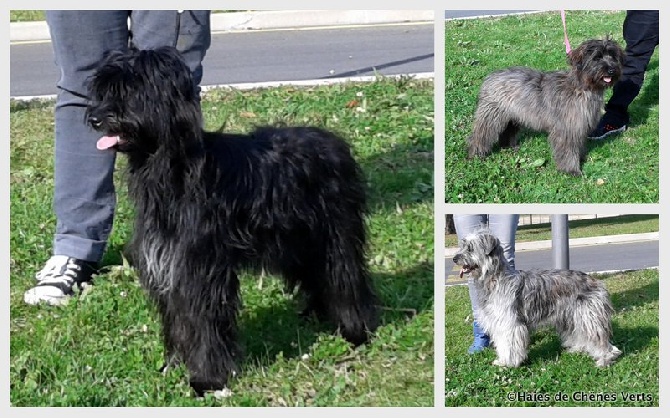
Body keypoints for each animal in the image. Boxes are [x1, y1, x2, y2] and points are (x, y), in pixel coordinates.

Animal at [85, 48, 378, 396]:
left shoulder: (200, 269)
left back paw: (355, 330)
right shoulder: (168, 265)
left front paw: (206, 379)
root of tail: (335, 143)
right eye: (104, 91)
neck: (175, 170)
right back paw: (316, 314)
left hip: (333, 236)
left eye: (129, 91)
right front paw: (173, 365)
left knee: (344, 277)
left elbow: (204, 323)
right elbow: (178, 320)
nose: (94, 117)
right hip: (297, 242)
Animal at [454, 230, 624, 368]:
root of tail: (595, 280)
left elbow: (508, 343)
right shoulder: (498, 321)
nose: (455, 258)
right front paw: (502, 360)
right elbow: (502, 343)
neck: (495, 279)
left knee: (600, 339)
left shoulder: (509, 323)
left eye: (470, 248)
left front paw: (508, 363)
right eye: (463, 245)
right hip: (571, 317)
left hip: (588, 316)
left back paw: (605, 358)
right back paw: (578, 349)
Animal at [470, 38, 628, 176]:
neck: (582, 87)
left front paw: (582, 157)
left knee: (507, 131)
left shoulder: (579, 126)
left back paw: (509, 146)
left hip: (512, 116)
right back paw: (475, 153)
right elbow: (568, 151)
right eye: (597, 57)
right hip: (491, 116)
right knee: (479, 135)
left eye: (612, 56)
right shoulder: (566, 129)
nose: (612, 70)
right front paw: (571, 170)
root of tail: (490, 77)